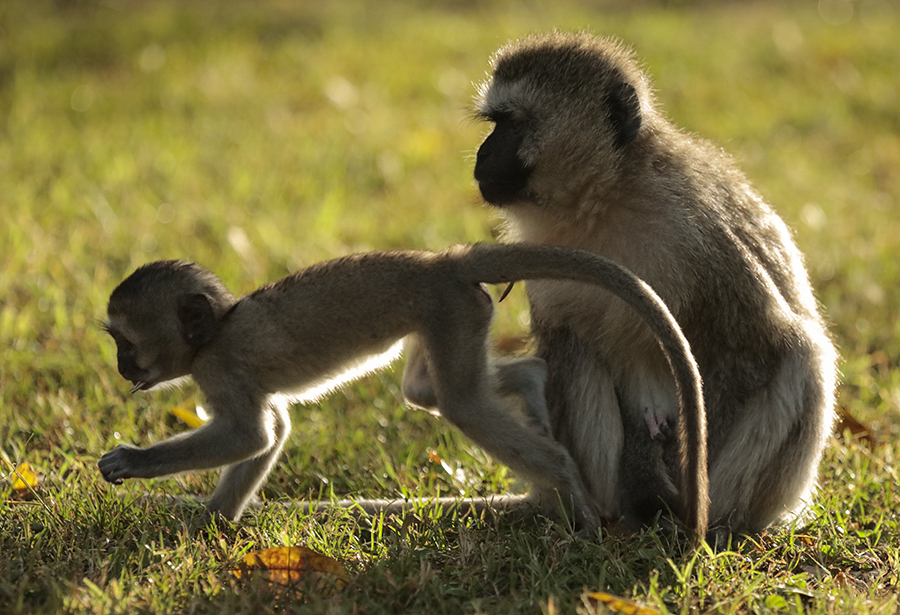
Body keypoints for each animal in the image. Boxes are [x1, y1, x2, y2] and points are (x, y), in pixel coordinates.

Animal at [96, 243, 704, 536]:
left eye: (127, 343)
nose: (124, 369)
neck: (216, 332)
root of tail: (442, 260)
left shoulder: (220, 367)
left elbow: (251, 435)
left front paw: (132, 462)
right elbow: (272, 431)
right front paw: (212, 520)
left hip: (450, 308)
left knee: (460, 403)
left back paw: (566, 484)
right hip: (454, 314)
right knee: (428, 394)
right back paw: (531, 382)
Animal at [474, 31, 840, 540]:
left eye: (512, 124)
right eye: (494, 123)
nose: (482, 154)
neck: (605, 199)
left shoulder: (700, 236)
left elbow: (754, 350)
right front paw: (645, 477)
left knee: (804, 355)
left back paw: (717, 524)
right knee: (570, 344)